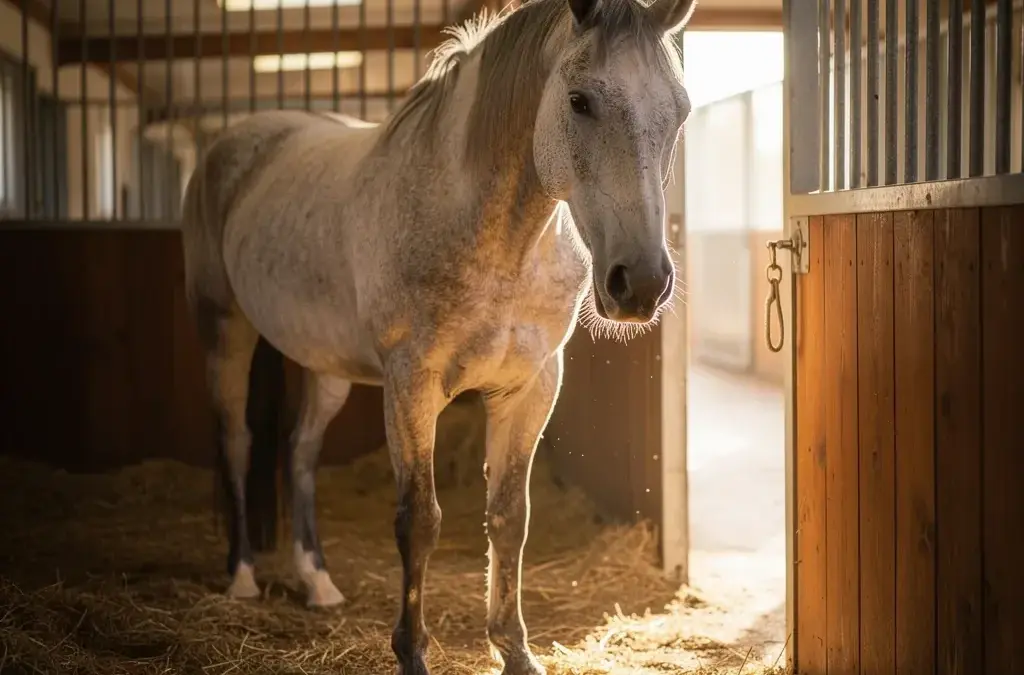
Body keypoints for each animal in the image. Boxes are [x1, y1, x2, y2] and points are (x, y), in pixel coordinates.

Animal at [179, 0, 694, 671]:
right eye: (579, 100)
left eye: (680, 110)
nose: (642, 284)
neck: (501, 242)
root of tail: (234, 142)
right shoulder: (411, 385)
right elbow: (419, 520)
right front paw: (412, 652)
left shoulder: (532, 386)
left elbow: (510, 518)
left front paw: (514, 650)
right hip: (226, 332)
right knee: (238, 442)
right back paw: (242, 577)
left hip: (325, 366)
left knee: (299, 451)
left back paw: (318, 582)